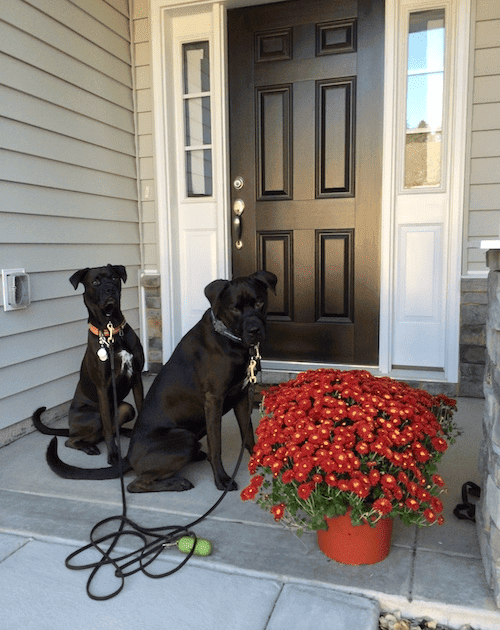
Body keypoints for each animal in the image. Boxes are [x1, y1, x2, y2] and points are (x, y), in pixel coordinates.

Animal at [33, 264, 145, 466]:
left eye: (114, 278)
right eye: (95, 282)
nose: (110, 289)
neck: (111, 329)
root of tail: (71, 428)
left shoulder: (136, 377)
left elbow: (141, 408)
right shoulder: (102, 387)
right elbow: (107, 428)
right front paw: (113, 455)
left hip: (125, 408)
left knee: (110, 428)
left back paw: (125, 432)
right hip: (93, 417)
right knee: (73, 440)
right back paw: (88, 446)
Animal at [44, 272, 278, 494]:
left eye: (259, 302)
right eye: (235, 309)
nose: (255, 330)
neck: (231, 341)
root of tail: (128, 456)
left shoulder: (242, 396)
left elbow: (248, 434)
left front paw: (258, 462)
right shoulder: (214, 399)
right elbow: (216, 446)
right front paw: (222, 480)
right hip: (185, 436)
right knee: (136, 484)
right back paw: (178, 482)